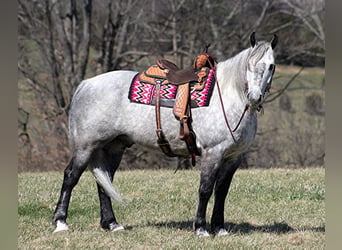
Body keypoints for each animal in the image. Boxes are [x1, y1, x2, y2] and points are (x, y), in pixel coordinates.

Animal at [52, 32, 278, 236]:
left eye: (271, 65)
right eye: (249, 64)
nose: (254, 97)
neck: (229, 96)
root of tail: (85, 84)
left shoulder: (233, 157)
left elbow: (221, 192)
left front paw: (220, 228)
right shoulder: (212, 154)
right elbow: (205, 190)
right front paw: (201, 228)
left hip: (112, 147)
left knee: (104, 181)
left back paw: (112, 224)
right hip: (86, 147)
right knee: (71, 176)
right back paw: (61, 223)